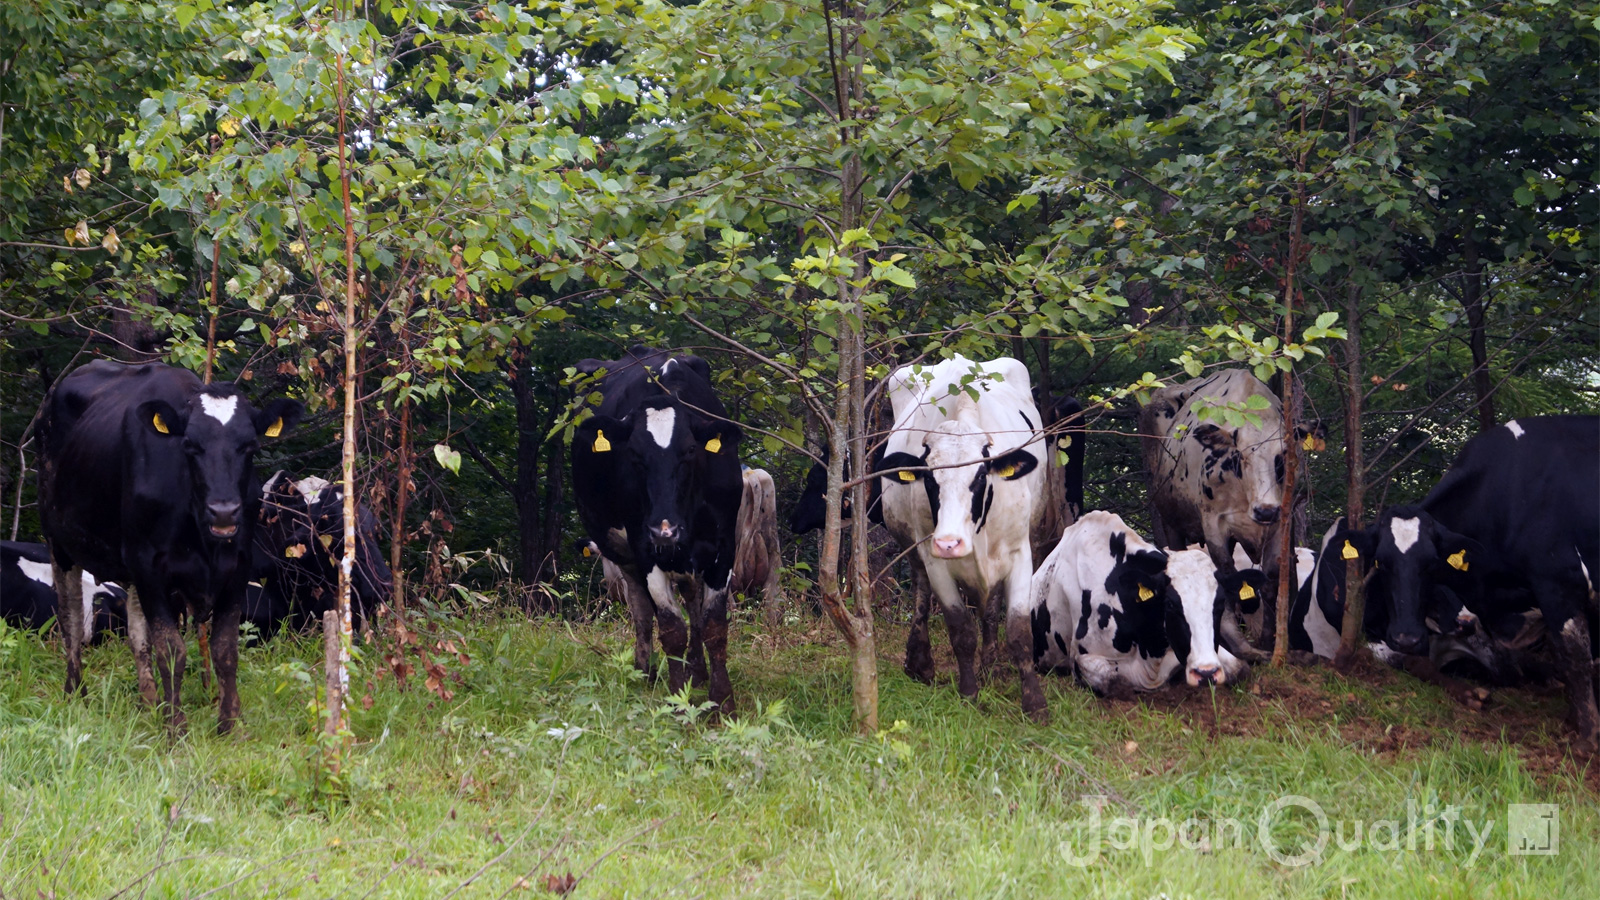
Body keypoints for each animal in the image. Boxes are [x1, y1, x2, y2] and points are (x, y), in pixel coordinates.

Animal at [569, 342, 742, 707]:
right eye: (634, 454)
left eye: (690, 450)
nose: (665, 529)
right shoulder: (644, 546)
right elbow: (671, 628)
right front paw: (679, 701)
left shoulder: (724, 545)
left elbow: (714, 626)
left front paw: (722, 702)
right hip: (623, 552)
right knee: (641, 609)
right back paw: (644, 670)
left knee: (692, 602)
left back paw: (698, 671)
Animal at [870, 353, 1056, 717]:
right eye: (929, 479)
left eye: (981, 476)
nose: (949, 542)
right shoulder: (934, 558)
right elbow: (960, 629)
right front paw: (969, 691)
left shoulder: (1019, 552)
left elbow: (1019, 631)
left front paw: (1034, 702)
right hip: (914, 549)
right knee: (921, 596)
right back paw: (920, 664)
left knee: (990, 608)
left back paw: (989, 665)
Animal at [1030, 512, 1267, 695]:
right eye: (1170, 605)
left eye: (1219, 603)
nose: (1205, 672)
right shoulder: (1081, 659)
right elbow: (1113, 681)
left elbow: (1240, 668)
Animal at [1350, 416, 1600, 749]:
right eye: (1381, 561)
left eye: (1432, 562)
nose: (1406, 638)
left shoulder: (1557, 582)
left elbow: (1575, 656)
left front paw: (1587, 737)